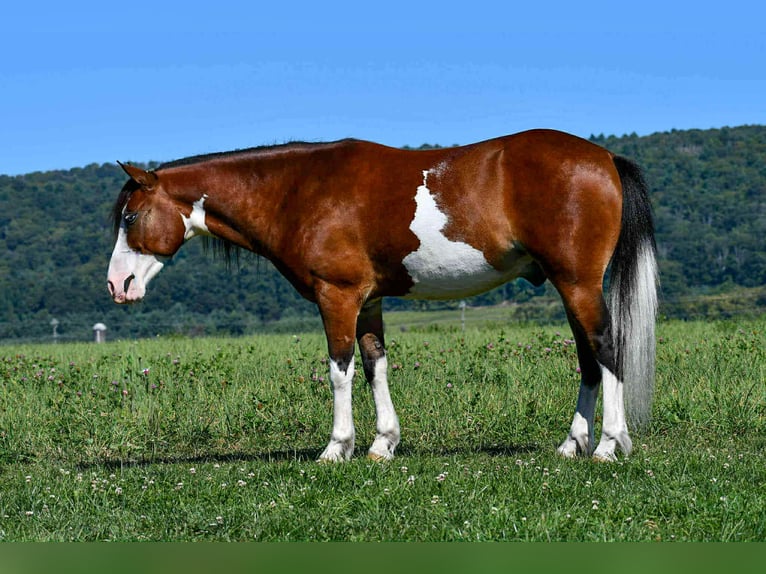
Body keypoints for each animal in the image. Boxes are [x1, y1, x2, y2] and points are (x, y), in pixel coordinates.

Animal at [107, 129, 658, 463]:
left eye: (131, 217)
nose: (117, 286)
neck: (300, 190)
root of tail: (604, 156)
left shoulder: (338, 295)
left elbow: (339, 368)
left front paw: (337, 447)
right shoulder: (368, 300)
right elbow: (376, 364)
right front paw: (382, 444)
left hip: (578, 283)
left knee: (606, 349)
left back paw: (608, 444)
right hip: (569, 287)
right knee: (588, 360)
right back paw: (572, 444)